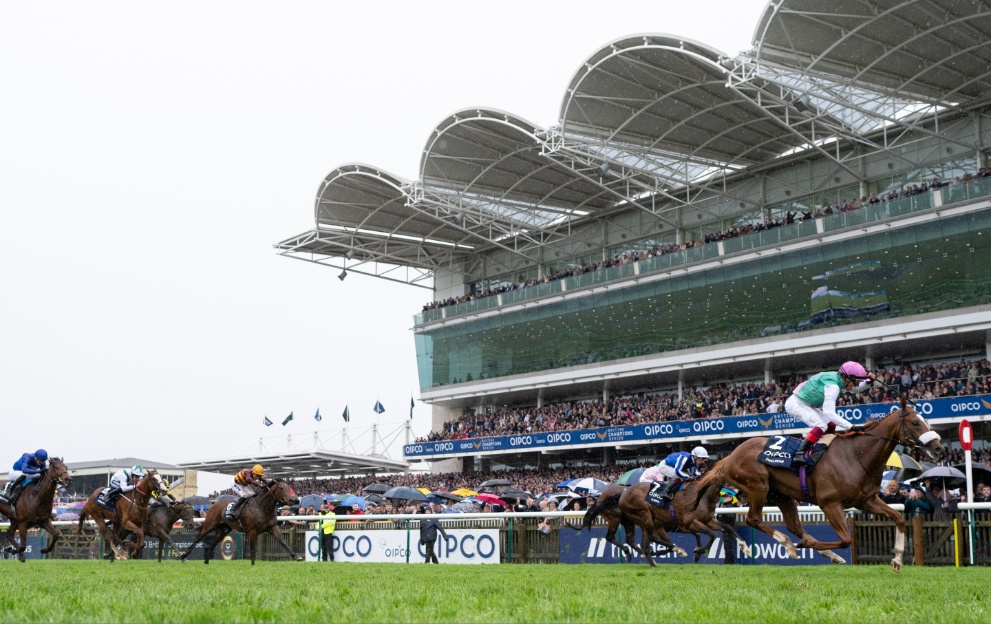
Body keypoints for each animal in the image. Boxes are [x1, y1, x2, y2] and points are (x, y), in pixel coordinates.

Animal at [692, 398, 940, 572]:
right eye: (915, 422)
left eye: (926, 421)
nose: (938, 447)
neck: (856, 454)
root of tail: (729, 457)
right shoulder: (829, 503)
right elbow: (846, 539)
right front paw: (804, 547)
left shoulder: (866, 500)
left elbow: (898, 518)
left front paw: (897, 558)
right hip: (757, 486)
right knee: (755, 519)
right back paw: (790, 544)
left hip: (780, 495)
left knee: (794, 526)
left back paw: (813, 548)